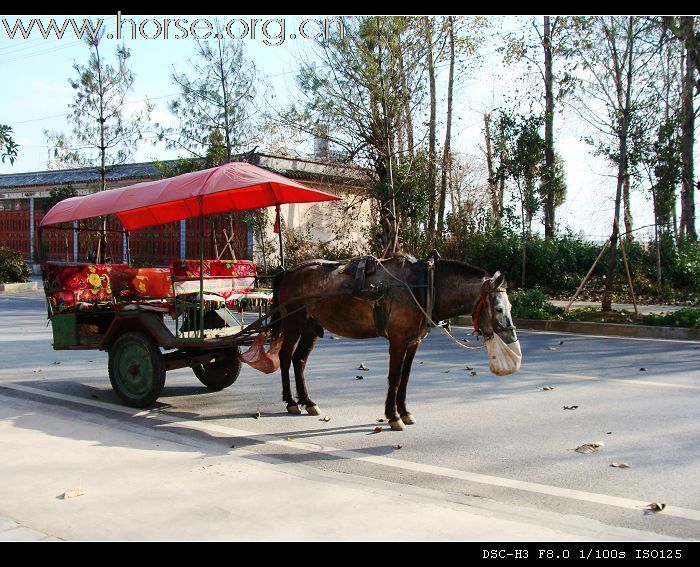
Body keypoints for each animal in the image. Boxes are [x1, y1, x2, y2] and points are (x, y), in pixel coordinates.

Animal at [268, 255, 520, 432]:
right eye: (498, 308)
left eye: (509, 307)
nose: (511, 339)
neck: (423, 286)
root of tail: (289, 271)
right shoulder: (398, 340)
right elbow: (395, 377)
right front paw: (393, 415)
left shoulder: (413, 342)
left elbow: (405, 379)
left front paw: (405, 412)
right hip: (293, 322)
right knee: (285, 357)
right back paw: (290, 401)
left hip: (311, 327)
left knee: (299, 360)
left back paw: (307, 401)